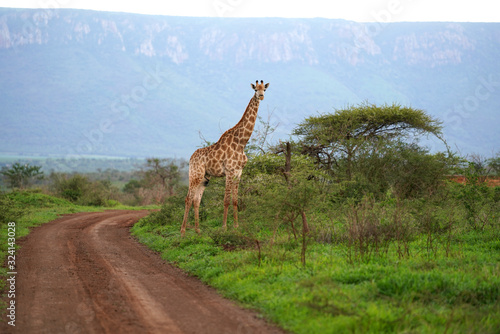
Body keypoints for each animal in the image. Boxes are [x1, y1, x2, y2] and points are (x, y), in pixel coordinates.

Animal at [181, 79, 270, 236]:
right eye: (255, 90)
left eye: (264, 89)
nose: (261, 96)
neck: (241, 142)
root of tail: (191, 158)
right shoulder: (229, 171)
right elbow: (226, 200)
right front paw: (224, 227)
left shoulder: (238, 172)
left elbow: (235, 200)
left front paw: (236, 226)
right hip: (195, 175)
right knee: (188, 198)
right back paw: (183, 231)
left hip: (205, 178)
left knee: (196, 200)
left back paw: (198, 230)